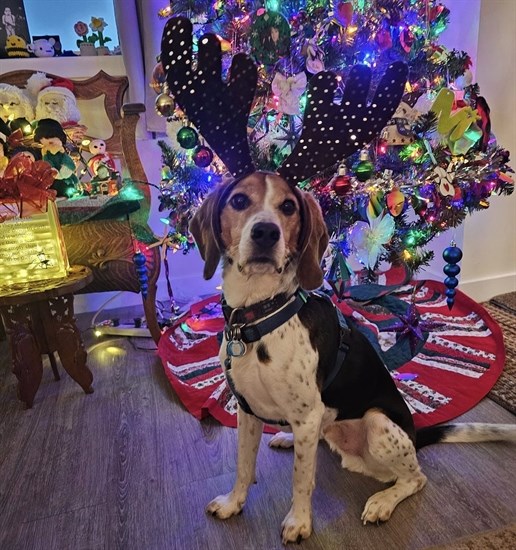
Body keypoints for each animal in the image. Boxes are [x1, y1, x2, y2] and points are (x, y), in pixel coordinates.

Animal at [189, 174, 516, 548]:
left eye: (288, 206)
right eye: (240, 201)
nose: (266, 233)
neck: (258, 315)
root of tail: (414, 434)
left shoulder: (306, 415)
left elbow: (302, 480)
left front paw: (299, 522)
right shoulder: (247, 409)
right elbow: (244, 466)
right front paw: (233, 503)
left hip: (377, 424)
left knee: (415, 478)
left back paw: (382, 502)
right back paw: (289, 437)